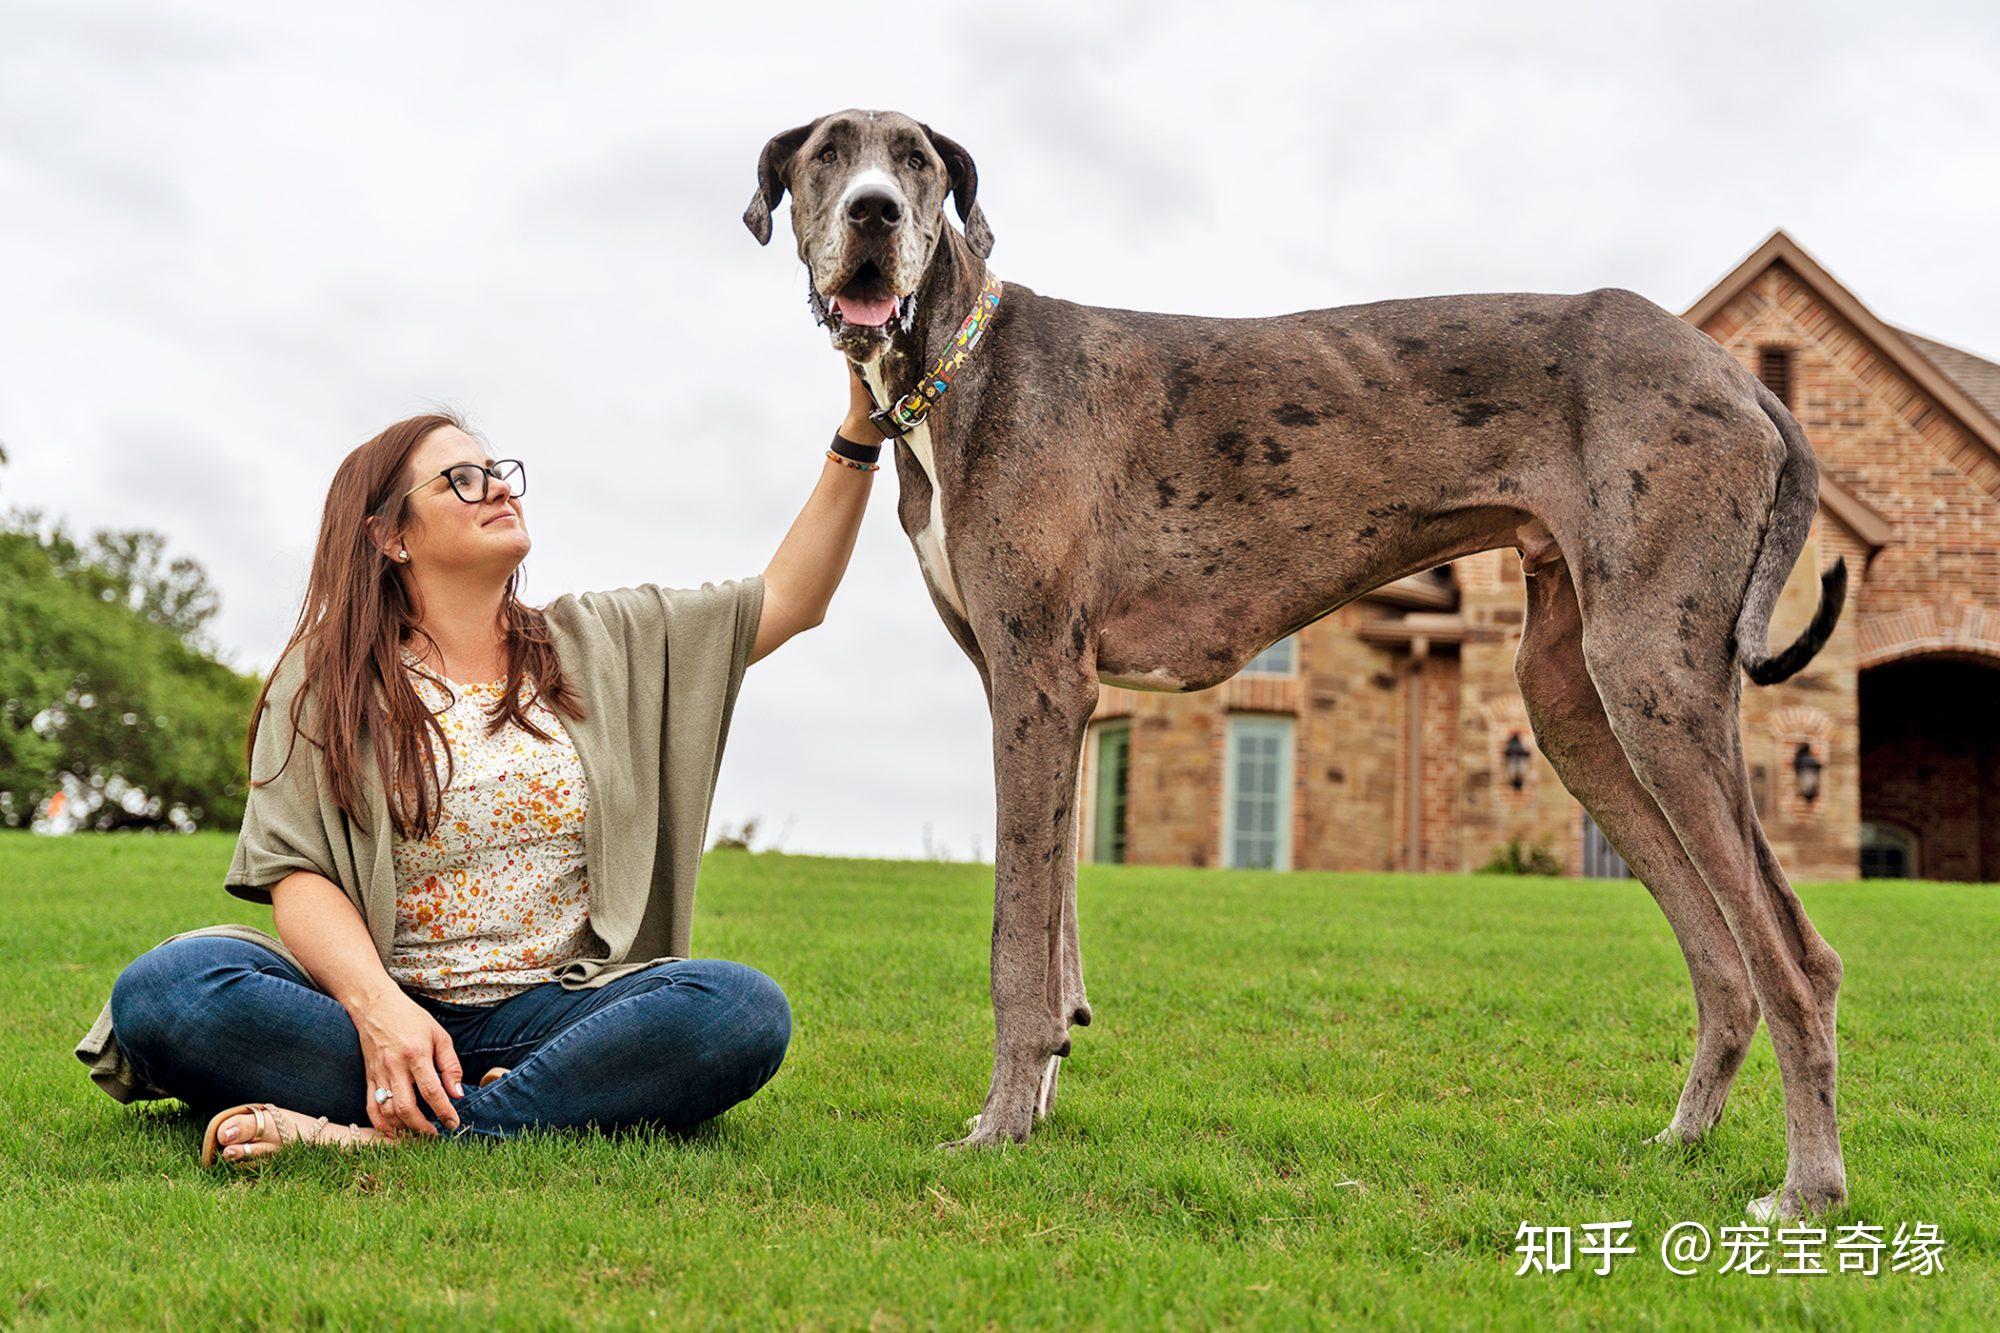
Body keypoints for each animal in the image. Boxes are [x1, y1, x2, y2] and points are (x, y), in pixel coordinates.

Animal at [744, 111, 1848, 1216]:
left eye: (917, 161)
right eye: (827, 156)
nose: (875, 213)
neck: (956, 366)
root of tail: (1742, 377)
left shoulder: (1036, 682)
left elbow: (1017, 943)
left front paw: (998, 1127)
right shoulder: (1046, 699)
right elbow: (1055, 929)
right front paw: (1038, 1103)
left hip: (1650, 679)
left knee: (1793, 958)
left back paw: (1807, 1190)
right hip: (1574, 704)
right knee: (1728, 959)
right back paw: (1683, 1140)